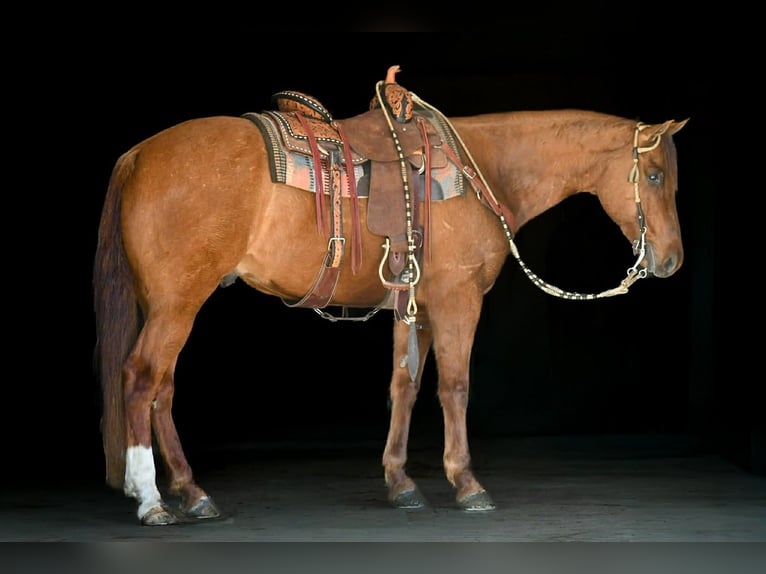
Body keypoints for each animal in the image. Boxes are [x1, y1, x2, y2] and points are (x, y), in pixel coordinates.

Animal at [93, 66, 688, 525]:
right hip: (177, 302)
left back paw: (191, 493)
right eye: (656, 175)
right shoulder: (457, 300)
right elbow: (454, 387)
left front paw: (402, 483)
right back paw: (152, 500)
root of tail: (140, 152)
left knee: (163, 388)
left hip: (166, 304)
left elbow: (405, 385)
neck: (485, 169)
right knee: (141, 378)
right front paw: (467, 483)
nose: (671, 261)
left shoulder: (414, 307)